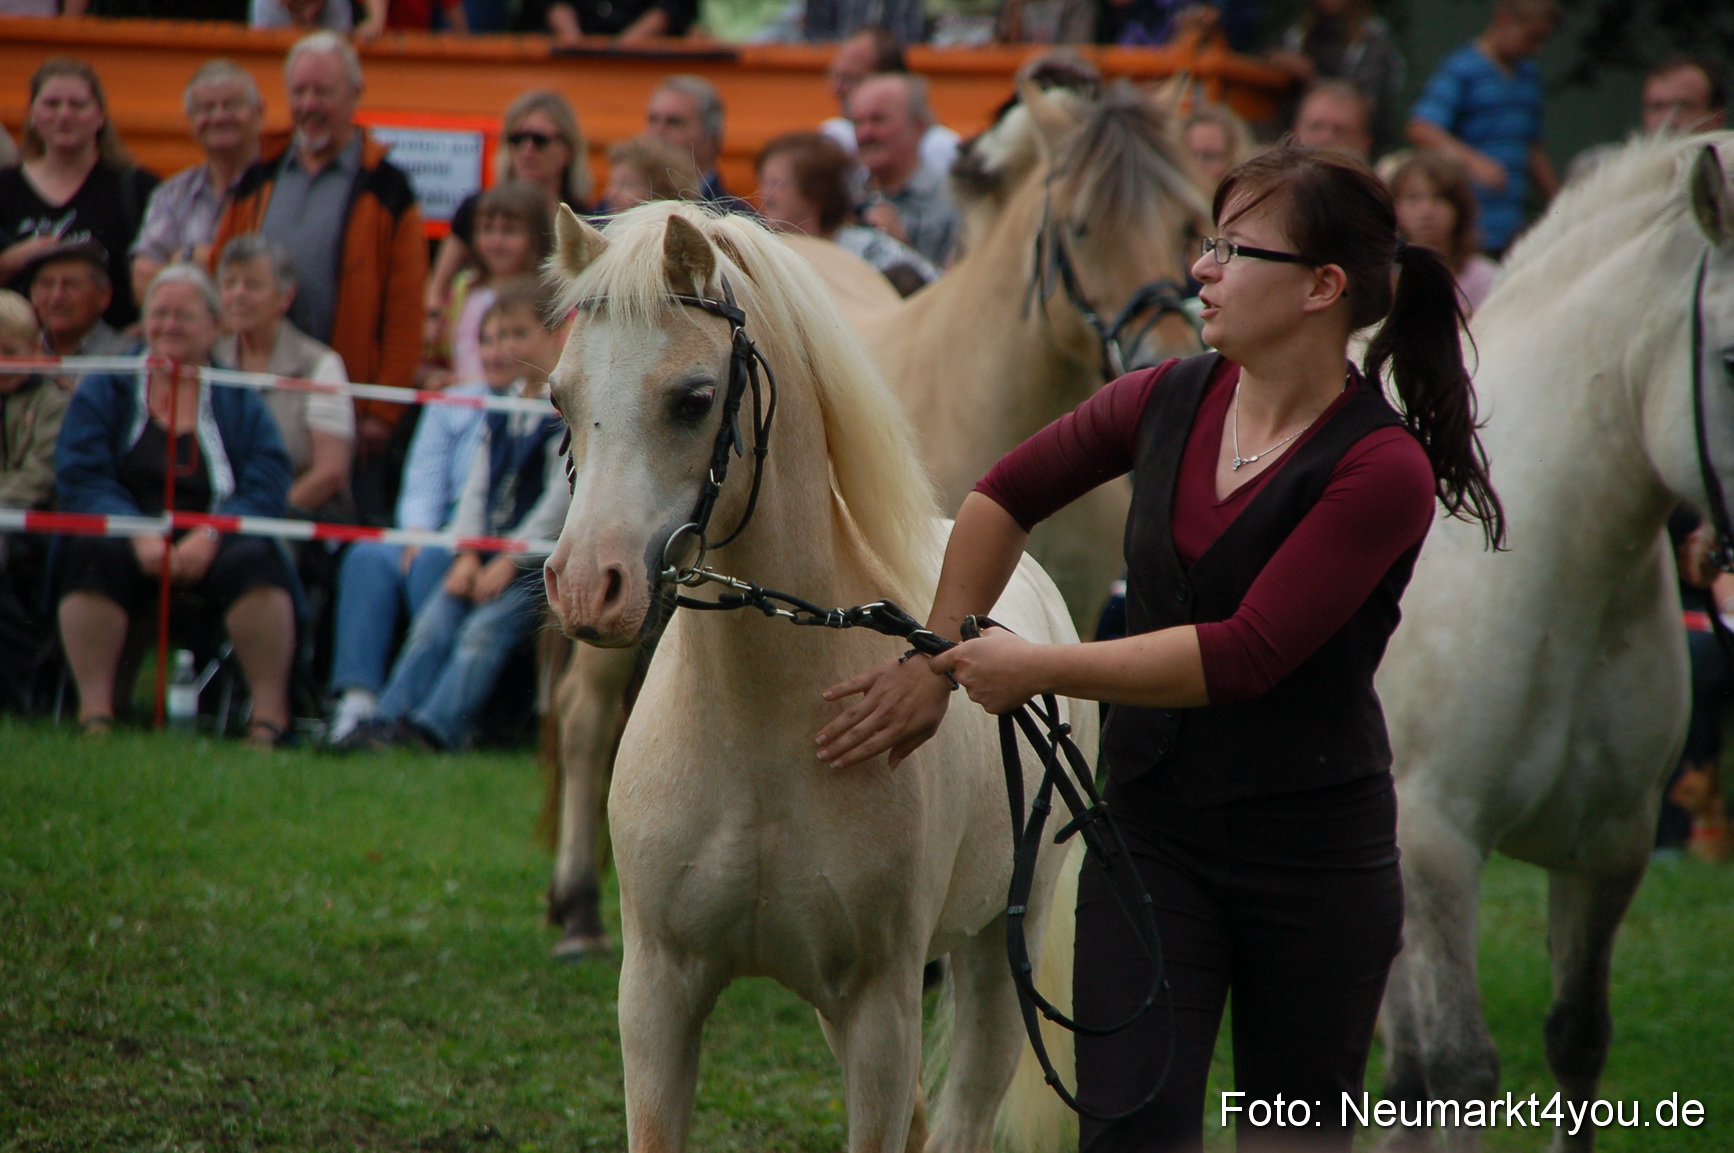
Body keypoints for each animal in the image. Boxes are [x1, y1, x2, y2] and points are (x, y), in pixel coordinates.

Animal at [540, 199, 1092, 1152]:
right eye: (559, 395)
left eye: (693, 398)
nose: (585, 587)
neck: (762, 732)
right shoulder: (657, 992)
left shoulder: (881, 1009)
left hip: (991, 957)